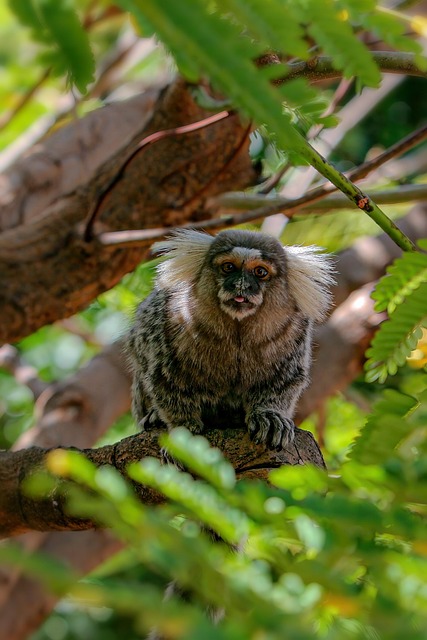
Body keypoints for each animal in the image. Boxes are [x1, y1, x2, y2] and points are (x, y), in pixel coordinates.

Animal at [127, 228, 335, 449]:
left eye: (260, 272)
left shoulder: (295, 329)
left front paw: (269, 415)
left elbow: (285, 380)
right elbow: (164, 378)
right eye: (228, 267)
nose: (241, 285)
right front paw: (183, 427)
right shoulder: (169, 317)